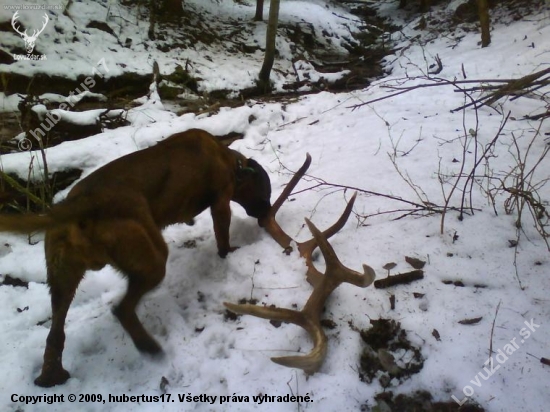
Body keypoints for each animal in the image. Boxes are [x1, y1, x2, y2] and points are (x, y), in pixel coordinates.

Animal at [0, 130, 272, 388]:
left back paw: (51, 376)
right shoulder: (221, 203)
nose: (267, 214)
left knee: (55, 334)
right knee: (122, 309)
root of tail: (78, 205)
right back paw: (148, 346)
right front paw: (229, 253)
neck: (230, 161)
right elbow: (222, 236)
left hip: (63, 281)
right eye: (266, 193)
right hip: (152, 260)